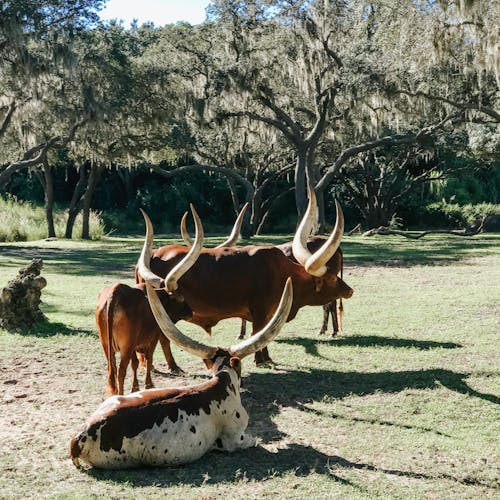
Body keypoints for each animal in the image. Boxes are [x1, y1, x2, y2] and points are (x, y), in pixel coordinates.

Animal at [96, 204, 204, 394]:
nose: (191, 312)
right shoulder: (152, 338)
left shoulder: (134, 346)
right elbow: (149, 358)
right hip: (124, 347)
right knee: (120, 371)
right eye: (180, 297)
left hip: (106, 346)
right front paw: (148, 385)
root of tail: (114, 294)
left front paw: (136, 388)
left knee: (112, 371)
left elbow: (136, 363)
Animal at [137, 187, 354, 364]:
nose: (350, 290)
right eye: (331, 278)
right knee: (163, 338)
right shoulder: (260, 311)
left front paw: (266, 357)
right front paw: (261, 360)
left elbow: (262, 335)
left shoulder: (270, 313)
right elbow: (257, 334)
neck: (282, 273)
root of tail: (154, 254)